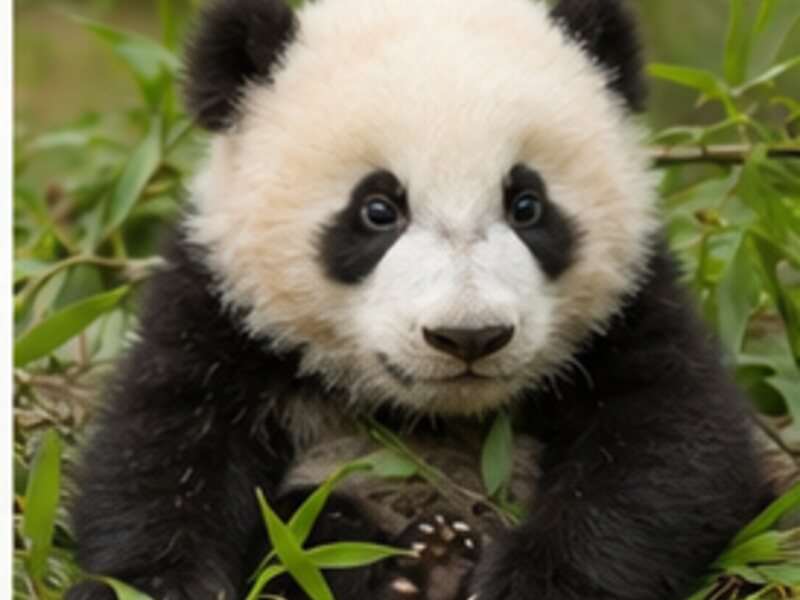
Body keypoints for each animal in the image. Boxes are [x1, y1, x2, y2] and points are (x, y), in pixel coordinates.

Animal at [65, 0, 772, 599]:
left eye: (527, 205)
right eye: (378, 209)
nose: (469, 337)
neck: (428, 413)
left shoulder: (631, 307)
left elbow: (672, 452)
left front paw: (529, 583)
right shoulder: (219, 311)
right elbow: (161, 456)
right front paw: (156, 583)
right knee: (307, 526)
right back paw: (420, 564)